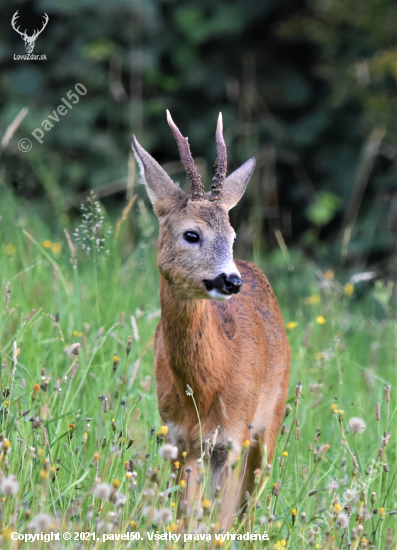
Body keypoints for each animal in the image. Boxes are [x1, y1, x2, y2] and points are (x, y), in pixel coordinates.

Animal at [131, 113, 290, 532]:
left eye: (232, 235)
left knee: (247, 505)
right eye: (192, 234)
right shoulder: (177, 436)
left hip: (272, 418)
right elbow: (183, 515)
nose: (231, 281)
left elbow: (216, 516)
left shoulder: (232, 438)